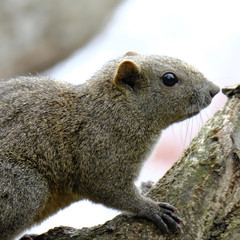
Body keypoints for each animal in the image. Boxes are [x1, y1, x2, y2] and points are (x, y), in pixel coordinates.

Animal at [0, 51, 219, 239]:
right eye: (169, 79)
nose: (215, 90)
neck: (113, 108)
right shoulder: (101, 150)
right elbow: (108, 188)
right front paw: (152, 209)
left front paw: (147, 187)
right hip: (26, 188)